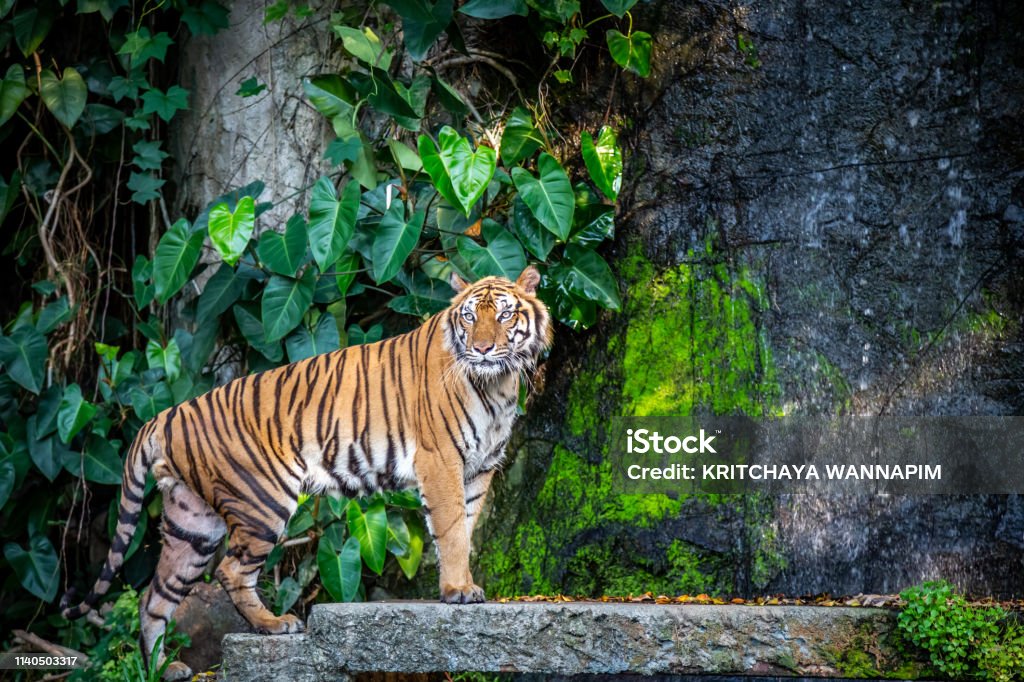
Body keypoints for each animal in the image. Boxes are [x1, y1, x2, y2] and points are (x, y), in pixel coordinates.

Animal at [59, 264, 552, 675]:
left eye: (505, 315)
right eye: (469, 317)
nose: (483, 349)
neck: (498, 383)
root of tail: (166, 413)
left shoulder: (479, 468)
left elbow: (466, 528)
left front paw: (464, 585)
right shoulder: (441, 459)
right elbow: (451, 530)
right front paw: (458, 592)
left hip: (193, 524)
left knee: (153, 597)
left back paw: (166, 669)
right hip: (262, 502)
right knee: (230, 572)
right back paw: (274, 625)